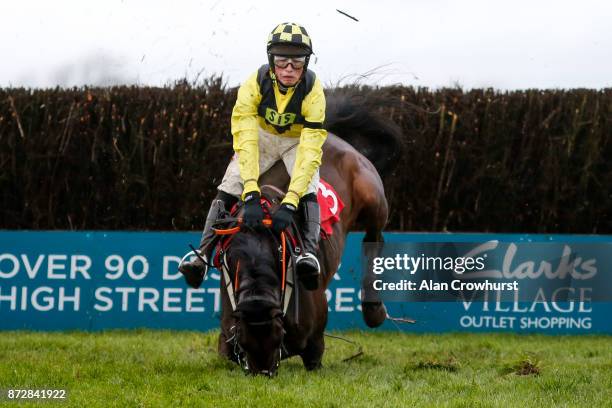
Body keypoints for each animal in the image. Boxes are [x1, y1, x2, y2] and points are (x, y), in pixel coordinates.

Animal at [213, 90, 404, 376]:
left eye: (277, 337)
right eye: (244, 343)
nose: (263, 372)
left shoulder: (315, 336)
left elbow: (313, 354)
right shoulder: (228, 327)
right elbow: (226, 350)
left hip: (372, 195)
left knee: (374, 239)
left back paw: (374, 310)